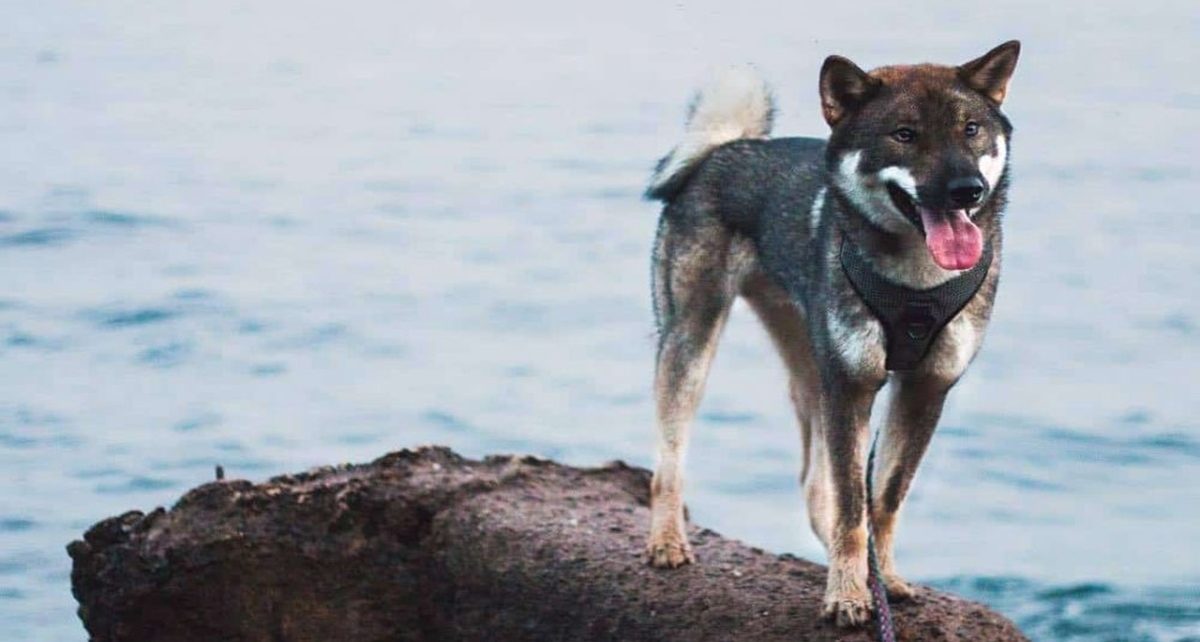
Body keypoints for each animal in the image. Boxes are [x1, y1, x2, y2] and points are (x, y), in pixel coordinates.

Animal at [648, 41, 1022, 628]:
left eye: (971, 129)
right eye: (905, 134)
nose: (968, 190)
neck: (916, 282)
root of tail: (725, 148)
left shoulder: (923, 389)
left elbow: (882, 500)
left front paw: (882, 577)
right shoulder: (852, 385)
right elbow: (852, 506)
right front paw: (847, 595)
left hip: (810, 369)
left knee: (813, 484)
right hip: (692, 342)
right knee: (669, 458)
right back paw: (666, 541)